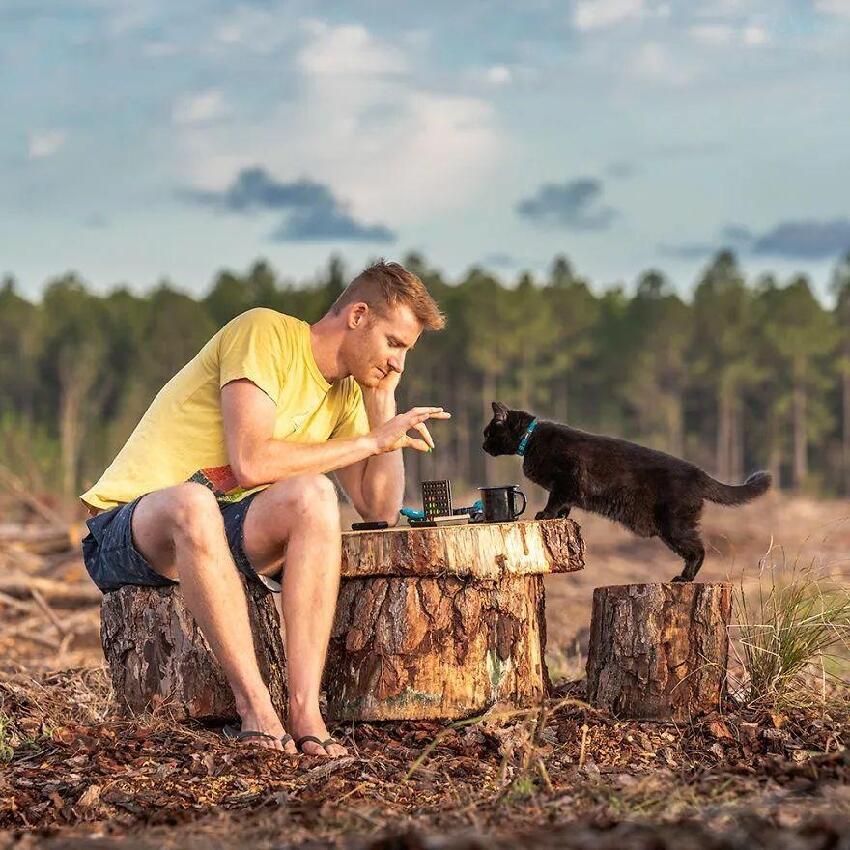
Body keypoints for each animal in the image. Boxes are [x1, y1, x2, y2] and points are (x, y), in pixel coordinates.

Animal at [484, 400, 768, 580]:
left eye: (488, 433)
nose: (483, 445)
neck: (530, 440)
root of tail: (698, 473)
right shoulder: (569, 489)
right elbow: (565, 504)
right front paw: (561, 518)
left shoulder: (566, 478)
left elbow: (555, 500)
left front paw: (545, 515)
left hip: (673, 525)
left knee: (698, 550)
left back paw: (684, 578)